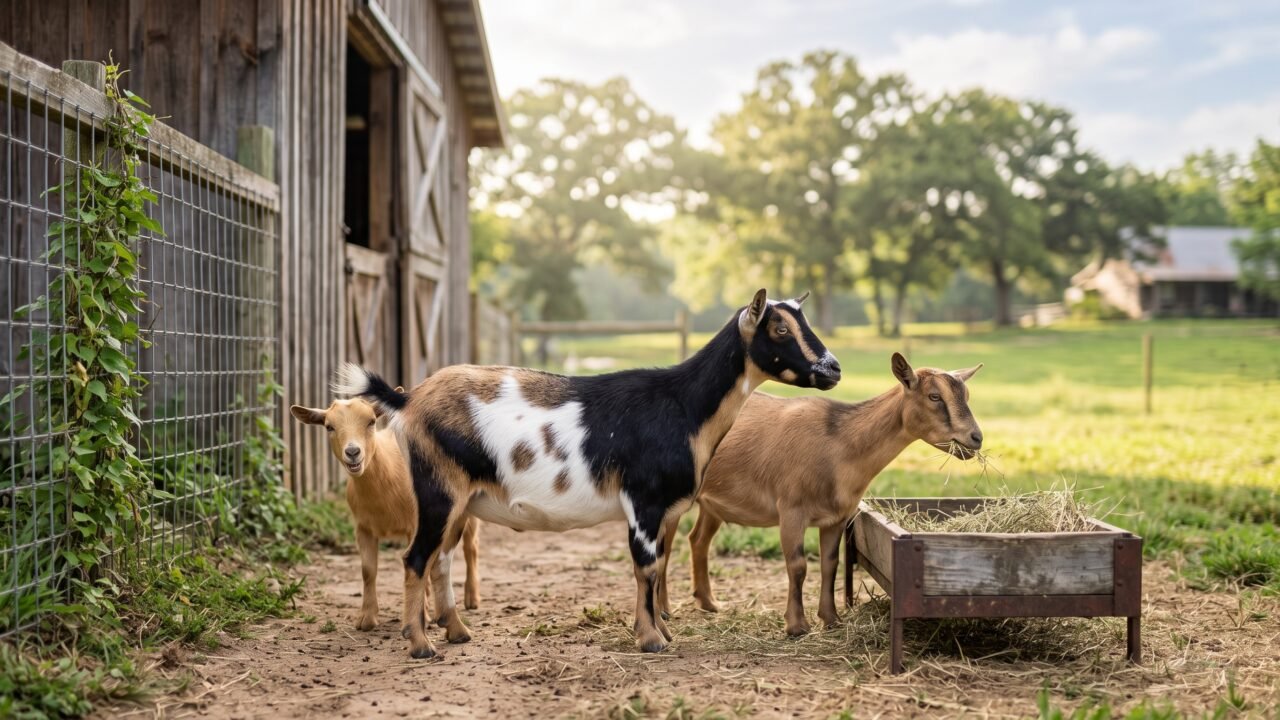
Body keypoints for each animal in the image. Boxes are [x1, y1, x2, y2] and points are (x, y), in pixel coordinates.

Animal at [290, 396, 481, 632]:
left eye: (371, 421)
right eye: (329, 427)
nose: (353, 452)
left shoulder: (413, 525)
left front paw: (423, 615)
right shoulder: (363, 528)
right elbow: (368, 570)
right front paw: (367, 618)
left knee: (470, 546)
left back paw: (472, 599)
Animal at [334, 289, 841, 658]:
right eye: (779, 327)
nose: (833, 368)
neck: (683, 406)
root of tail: (408, 399)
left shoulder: (663, 511)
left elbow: (658, 568)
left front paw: (661, 633)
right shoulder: (644, 501)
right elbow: (646, 567)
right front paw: (651, 640)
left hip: (461, 500)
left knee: (441, 558)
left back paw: (457, 632)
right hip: (438, 490)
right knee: (416, 558)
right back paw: (421, 645)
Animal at [660, 352, 982, 636]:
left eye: (967, 395)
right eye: (934, 396)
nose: (975, 438)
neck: (838, 446)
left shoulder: (836, 517)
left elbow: (830, 565)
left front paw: (831, 619)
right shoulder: (791, 509)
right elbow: (798, 566)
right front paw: (796, 626)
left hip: (711, 503)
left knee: (698, 540)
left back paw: (709, 603)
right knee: (665, 548)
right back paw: (663, 611)